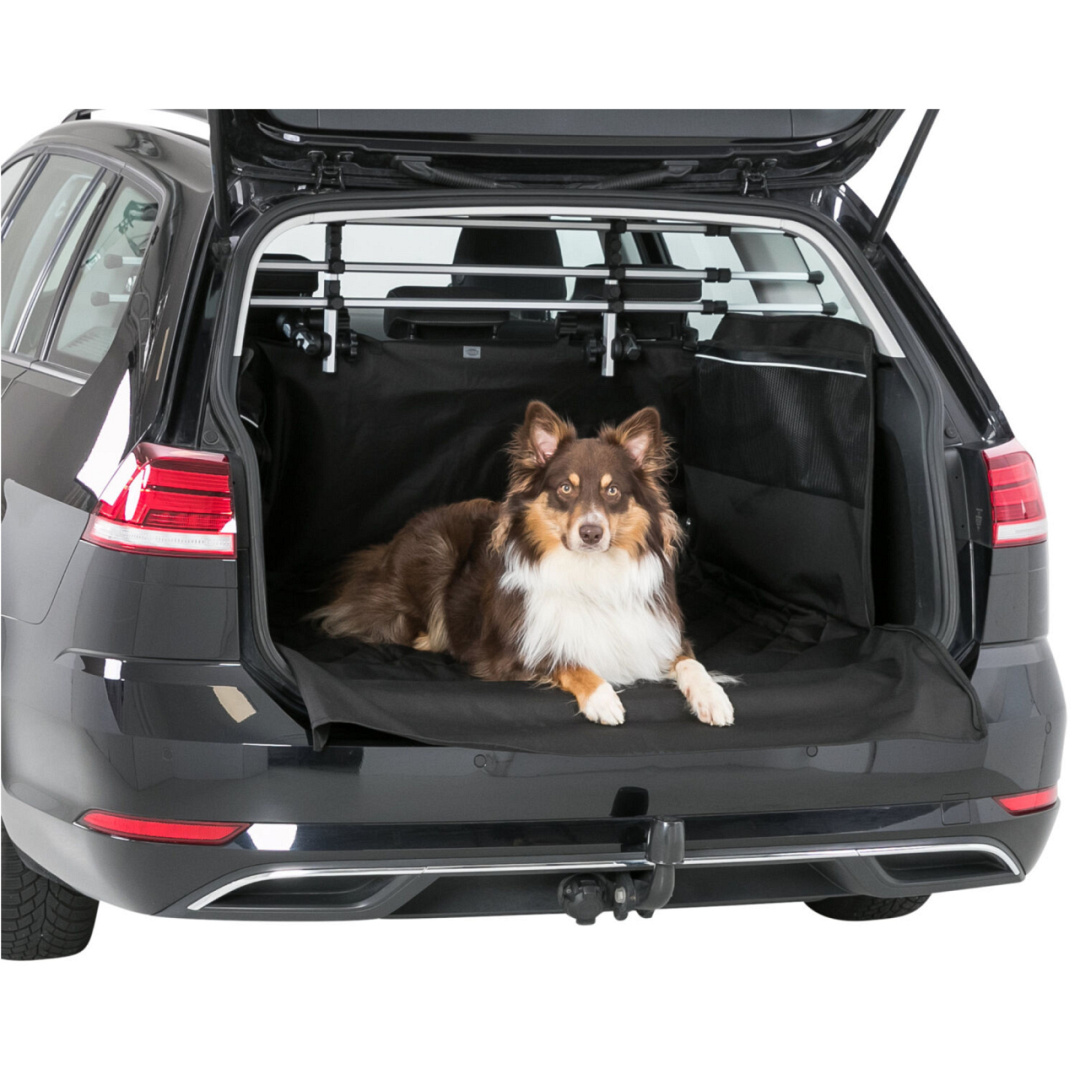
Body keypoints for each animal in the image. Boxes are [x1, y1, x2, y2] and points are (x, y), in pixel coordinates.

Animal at [314, 401, 735, 728]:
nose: (591, 533)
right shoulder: (510, 650)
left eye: (613, 491)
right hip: (437, 553)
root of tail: (385, 550)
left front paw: (713, 697)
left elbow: (690, 663)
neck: (590, 572)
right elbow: (566, 659)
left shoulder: (659, 634)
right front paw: (602, 696)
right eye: (565, 488)